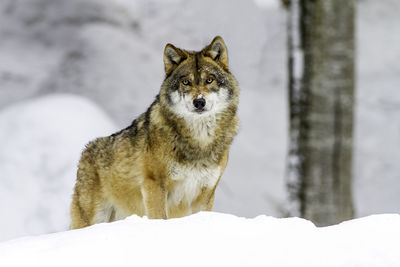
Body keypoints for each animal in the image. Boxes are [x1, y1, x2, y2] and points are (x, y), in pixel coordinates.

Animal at [70, 36, 239, 230]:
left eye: (210, 80)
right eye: (186, 82)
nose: (199, 102)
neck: (199, 141)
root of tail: (85, 151)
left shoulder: (206, 194)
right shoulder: (155, 185)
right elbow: (159, 217)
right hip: (93, 218)